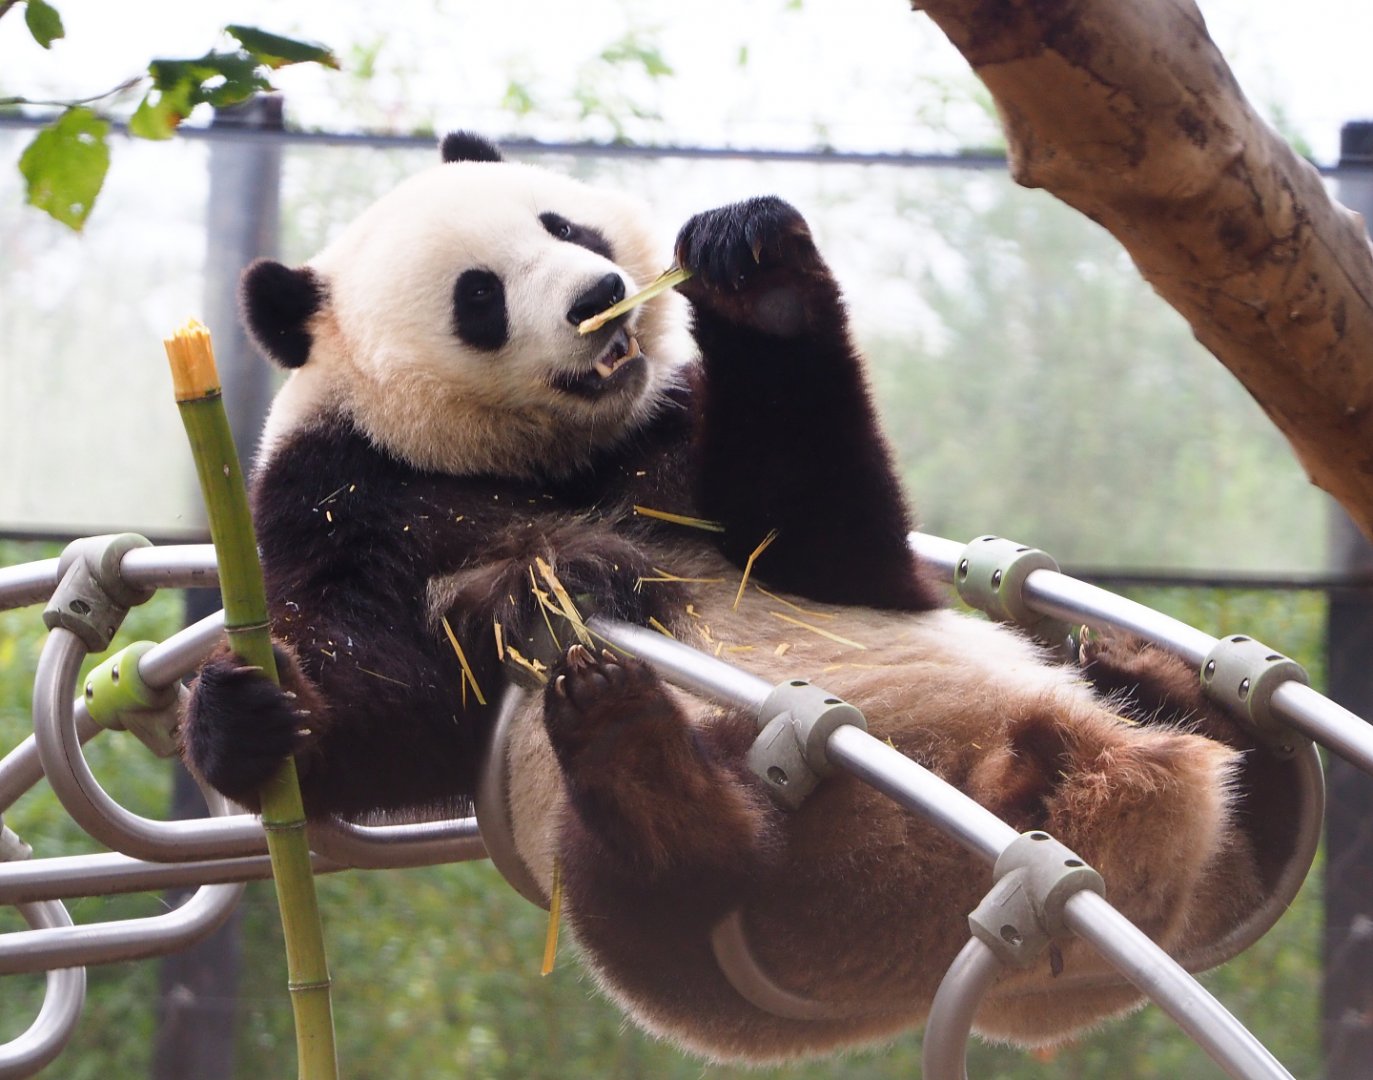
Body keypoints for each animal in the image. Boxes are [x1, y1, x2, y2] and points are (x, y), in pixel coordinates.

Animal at [181, 131, 1303, 1063]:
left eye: (564, 226)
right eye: (480, 296)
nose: (597, 294)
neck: (551, 463)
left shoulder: (678, 431)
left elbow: (825, 542)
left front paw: (753, 273)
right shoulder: (341, 501)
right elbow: (381, 694)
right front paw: (245, 712)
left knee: (1198, 741)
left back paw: (1166, 697)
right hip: (713, 943)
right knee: (649, 879)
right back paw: (642, 765)